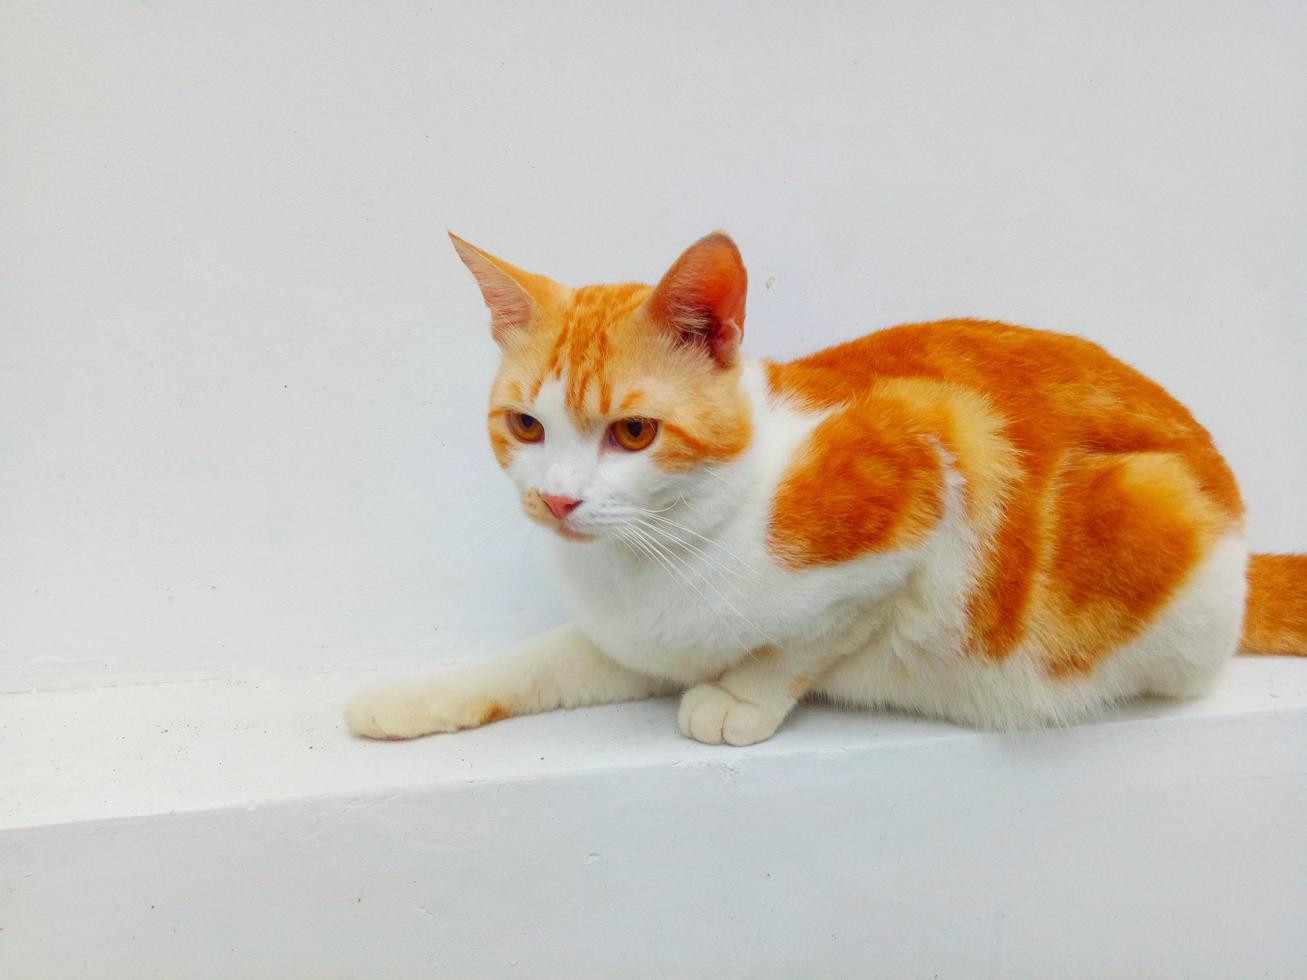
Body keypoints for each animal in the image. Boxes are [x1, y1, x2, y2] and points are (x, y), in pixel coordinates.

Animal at [345, 233, 1307, 747]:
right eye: (525, 426)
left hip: (1154, 518)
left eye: (633, 433)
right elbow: (533, 664)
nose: (557, 501)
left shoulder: (927, 467)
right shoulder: (632, 642)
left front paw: (739, 697)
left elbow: (812, 638)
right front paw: (412, 697)